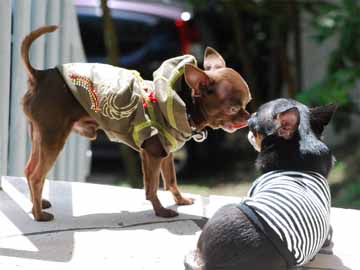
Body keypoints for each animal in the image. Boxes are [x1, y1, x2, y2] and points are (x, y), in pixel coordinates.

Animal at [19, 24, 250, 221]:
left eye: (247, 103)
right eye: (233, 109)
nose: (248, 117)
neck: (184, 105)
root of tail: (40, 76)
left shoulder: (165, 153)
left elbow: (171, 180)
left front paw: (180, 200)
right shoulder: (152, 154)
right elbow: (151, 188)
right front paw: (161, 211)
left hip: (39, 135)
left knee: (29, 170)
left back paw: (38, 205)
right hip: (53, 138)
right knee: (37, 176)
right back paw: (39, 215)